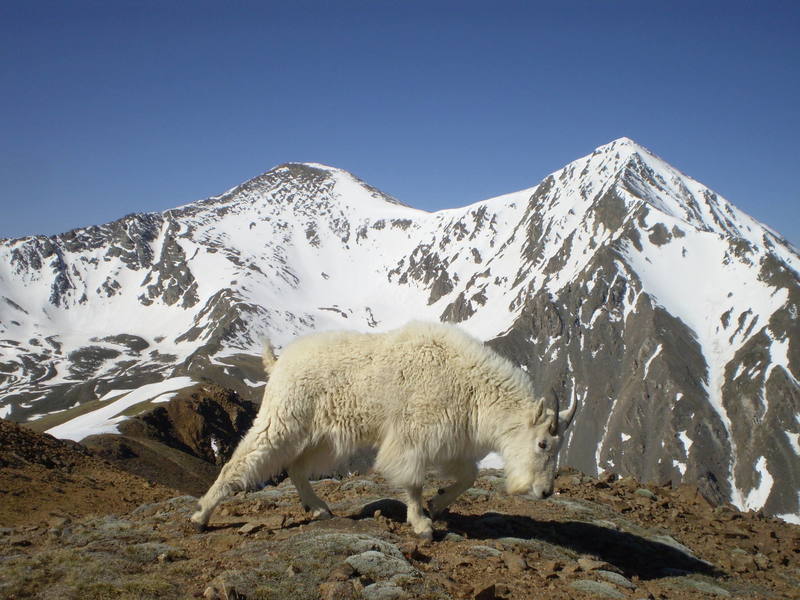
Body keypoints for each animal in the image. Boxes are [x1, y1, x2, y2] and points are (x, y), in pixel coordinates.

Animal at [191, 322, 580, 536]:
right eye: (543, 443)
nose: (545, 492)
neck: (472, 386)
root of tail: (278, 361)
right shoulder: (415, 435)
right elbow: (412, 479)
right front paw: (422, 524)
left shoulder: (451, 441)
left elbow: (467, 476)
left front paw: (438, 504)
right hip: (284, 417)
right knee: (245, 459)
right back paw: (201, 515)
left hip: (327, 436)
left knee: (297, 467)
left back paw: (319, 509)